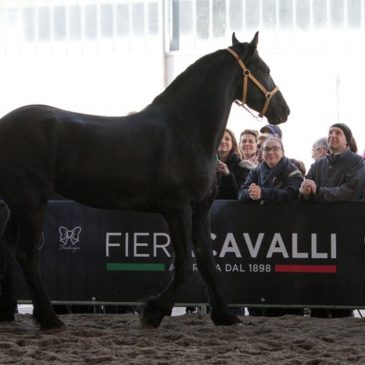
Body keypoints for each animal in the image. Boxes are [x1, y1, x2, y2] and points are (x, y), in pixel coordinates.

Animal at [0, 32, 288, 328]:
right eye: (265, 69)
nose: (284, 111)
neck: (186, 129)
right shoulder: (178, 209)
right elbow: (184, 264)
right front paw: (154, 310)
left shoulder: (200, 210)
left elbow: (207, 262)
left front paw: (224, 315)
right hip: (31, 202)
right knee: (27, 255)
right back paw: (49, 318)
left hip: (18, 206)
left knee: (7, 250)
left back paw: (8, 313)